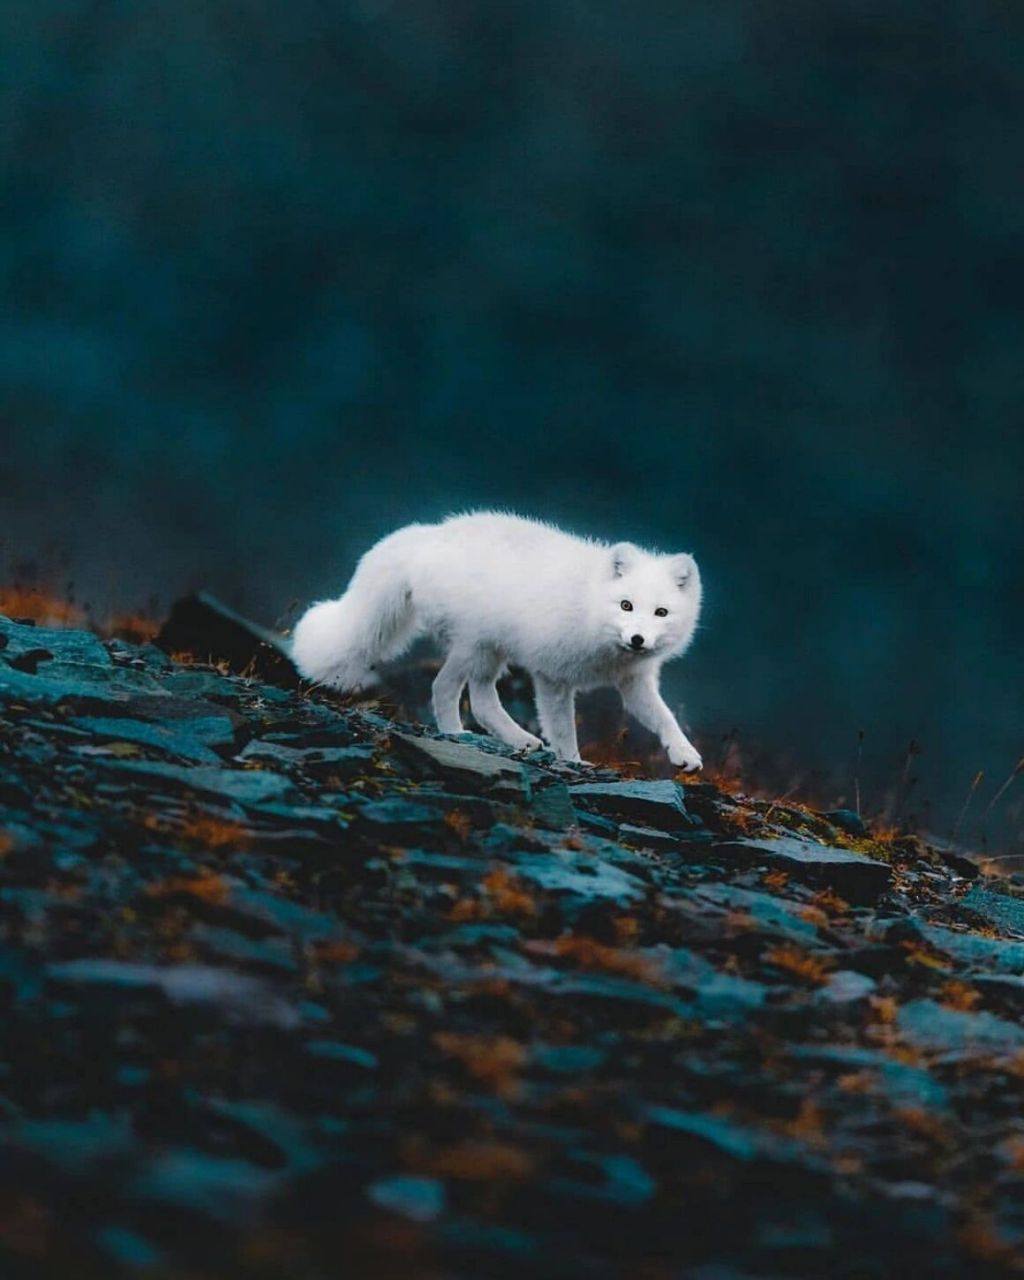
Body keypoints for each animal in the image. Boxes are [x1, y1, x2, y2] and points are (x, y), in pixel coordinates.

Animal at [288, 509, 706, 768]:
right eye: (625, 604)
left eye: (661, 613)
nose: (638, 639)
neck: (591, 611)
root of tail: (429, 533)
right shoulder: (553, 677)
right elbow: (562, 728)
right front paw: (573, 762)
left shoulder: (635, 682)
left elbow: (665, 717)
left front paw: (685, 754)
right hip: (478, 647)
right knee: (449, 689)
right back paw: (467, 735)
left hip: (489, 653)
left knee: (477, 699)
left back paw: (508, 738)